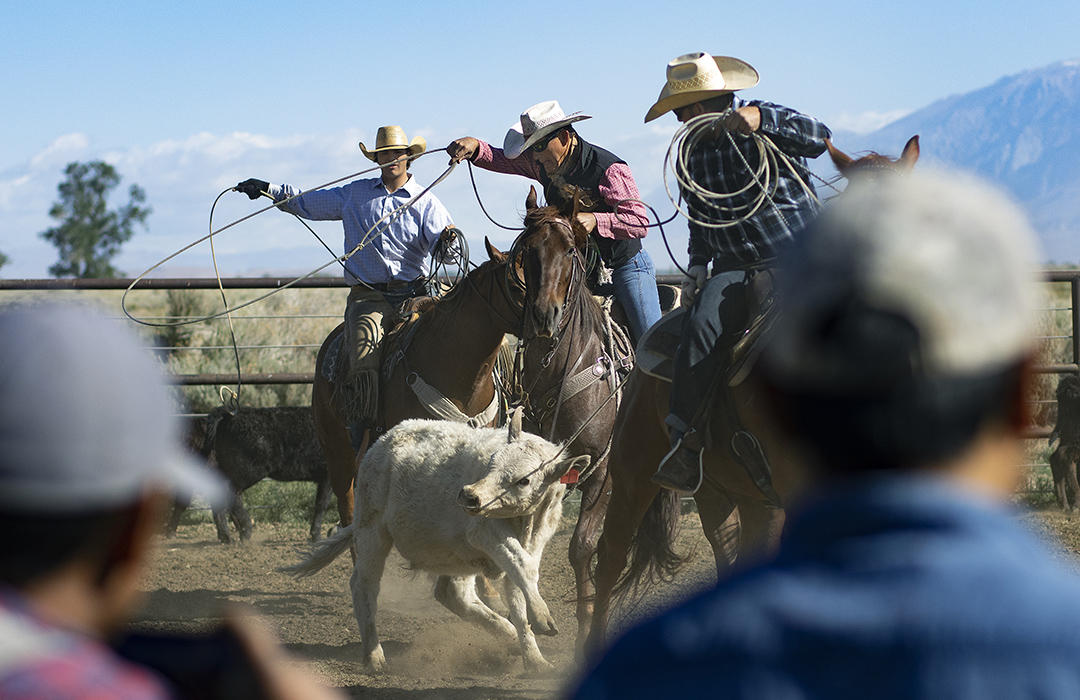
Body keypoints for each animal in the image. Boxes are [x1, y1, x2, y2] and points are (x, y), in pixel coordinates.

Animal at [287, 419, 587, 669]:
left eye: (524, 480)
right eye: (492, 463)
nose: (470, 495)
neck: (526, 522)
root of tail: (385, 438)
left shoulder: (533, 543)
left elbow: (519, 587)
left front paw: (535, 659)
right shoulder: (486, 533)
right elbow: (522, 568)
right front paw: (543, 619)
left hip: (456, 555)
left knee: (454, 594)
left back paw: (508, 634)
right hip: (371, 530)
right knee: (364, 585)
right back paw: (374, 656)